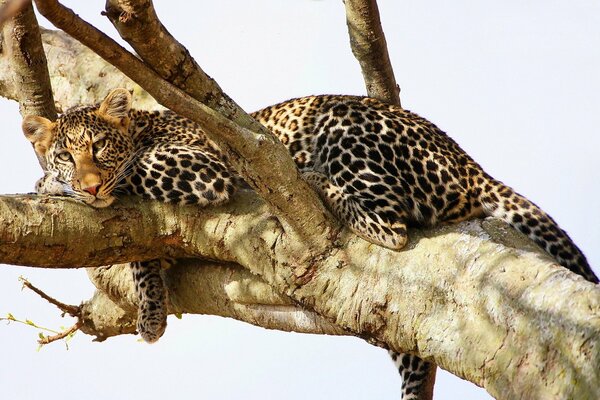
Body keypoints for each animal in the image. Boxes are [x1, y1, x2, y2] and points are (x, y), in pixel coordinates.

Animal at [21, 88, 596, 400]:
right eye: (68, 153)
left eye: (98, 147)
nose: (88, 185)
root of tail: (467, 161)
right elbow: (142, 255)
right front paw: (151, 310)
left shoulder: (201, 168)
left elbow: (135, 173)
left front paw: (49, 186)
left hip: (344, 127)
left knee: (390, 228)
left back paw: (314, 181)